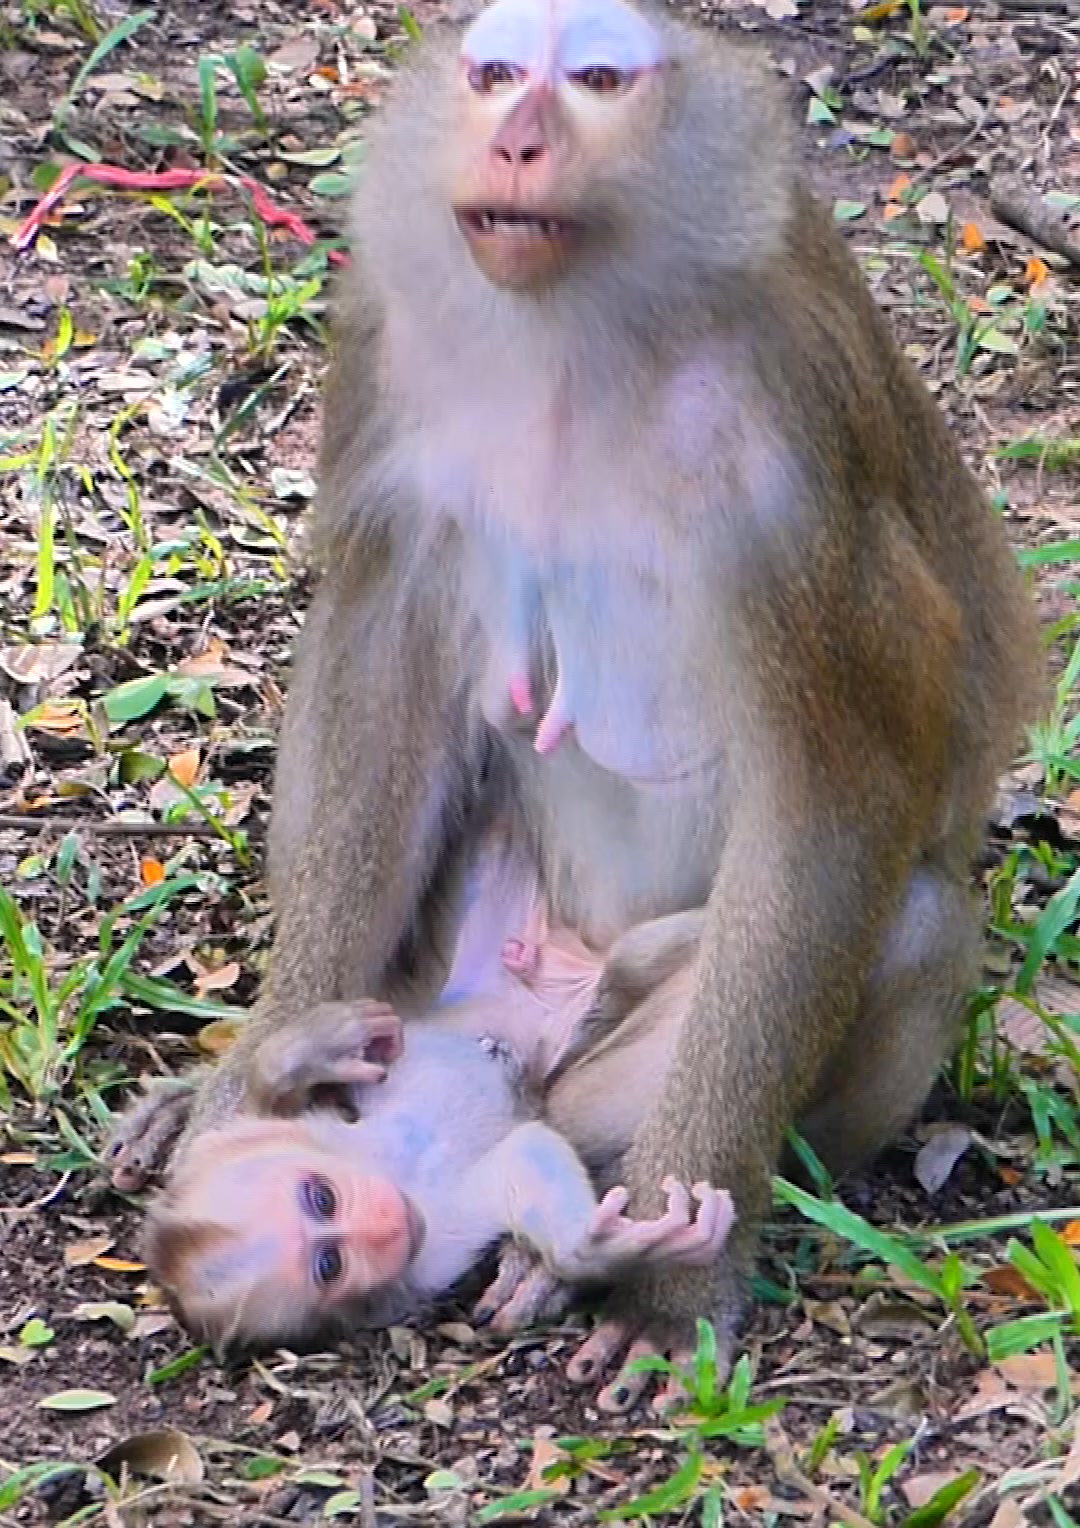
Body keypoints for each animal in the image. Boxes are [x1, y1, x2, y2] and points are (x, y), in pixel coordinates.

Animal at [109, 0, 1040, 1412]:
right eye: (497, 74)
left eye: (598, 81)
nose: (519, 137)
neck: (575, 337)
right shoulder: (392, 355)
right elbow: (384, 659)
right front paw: (253, 1088)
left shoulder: (794, 453)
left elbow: (843, 792)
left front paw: (673, 1287)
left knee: (909, 922)